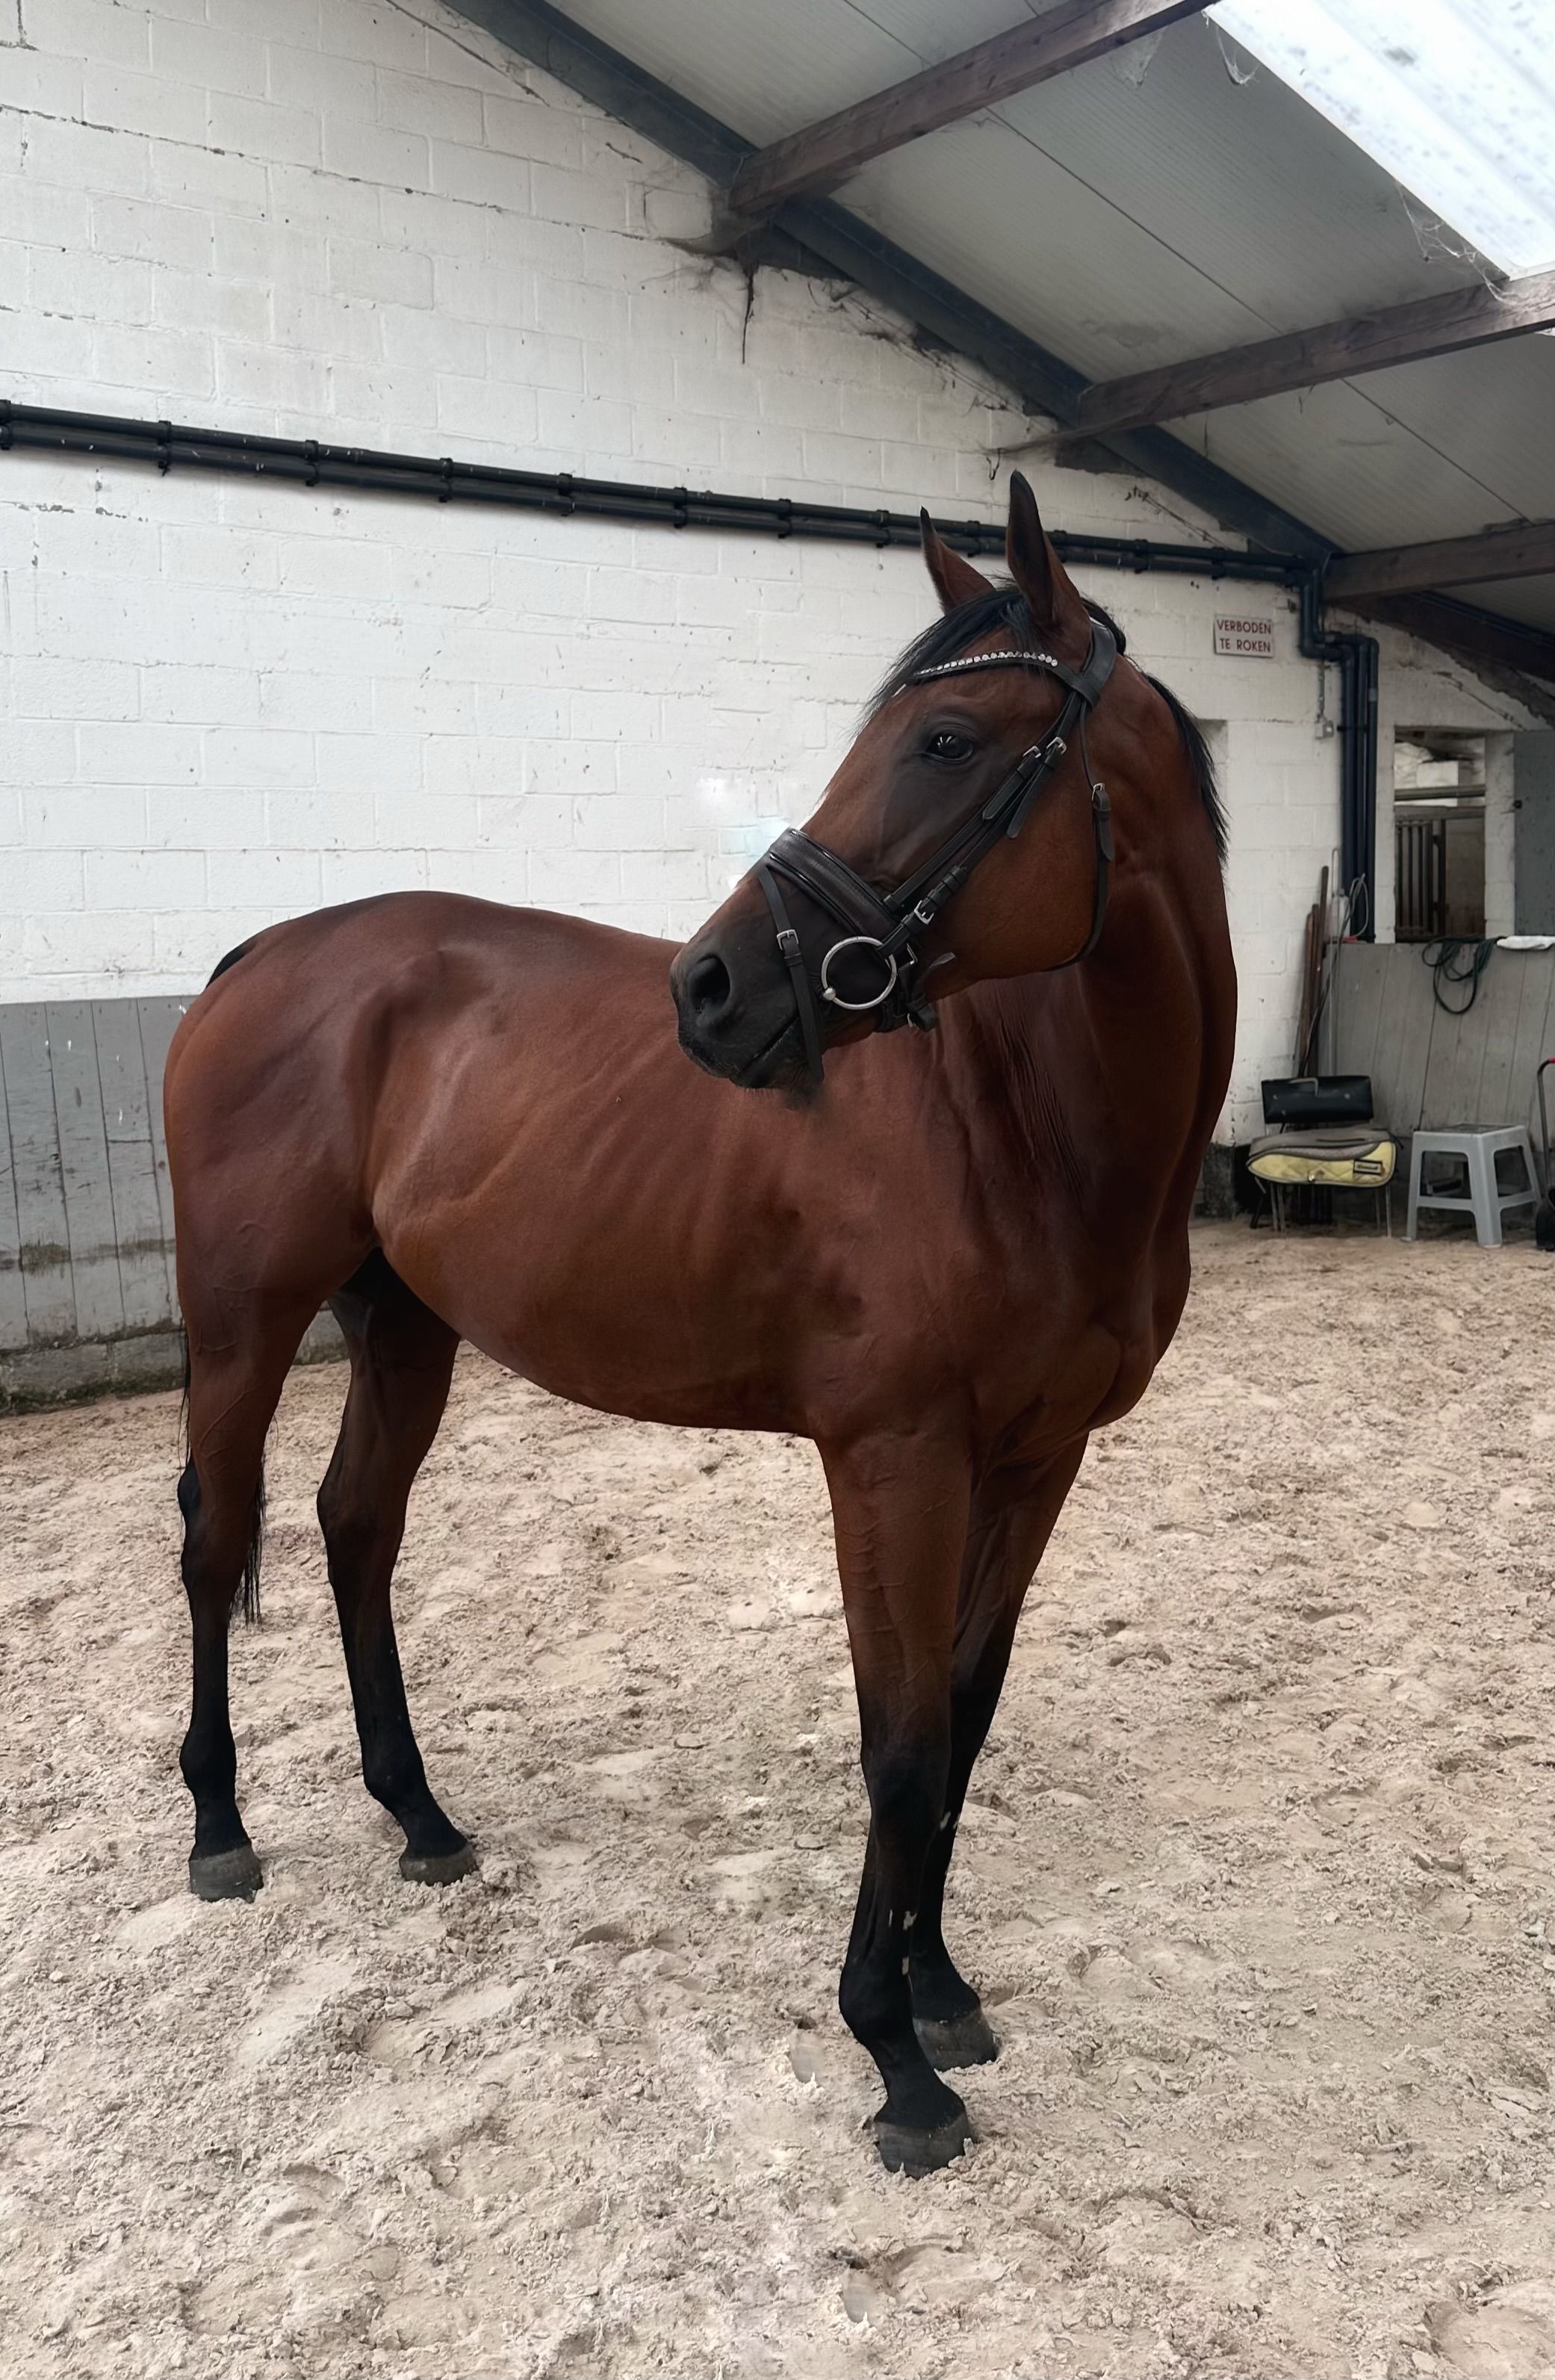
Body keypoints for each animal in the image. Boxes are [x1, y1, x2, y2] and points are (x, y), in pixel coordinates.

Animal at [164, 472, 1234, 2178]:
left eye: (947, 741)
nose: (712, 988)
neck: (1023, 1127)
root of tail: (264, 957)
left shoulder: (1038, 1459)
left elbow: (966, 1721)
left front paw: (943, 1991)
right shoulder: (894, 1460)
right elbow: (900, 1740)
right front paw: (894, 2057)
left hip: (405, 1325)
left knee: (353, 1528)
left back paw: (421, 1820)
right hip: (241, 1322)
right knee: (218, 1543)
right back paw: (219, 1829)